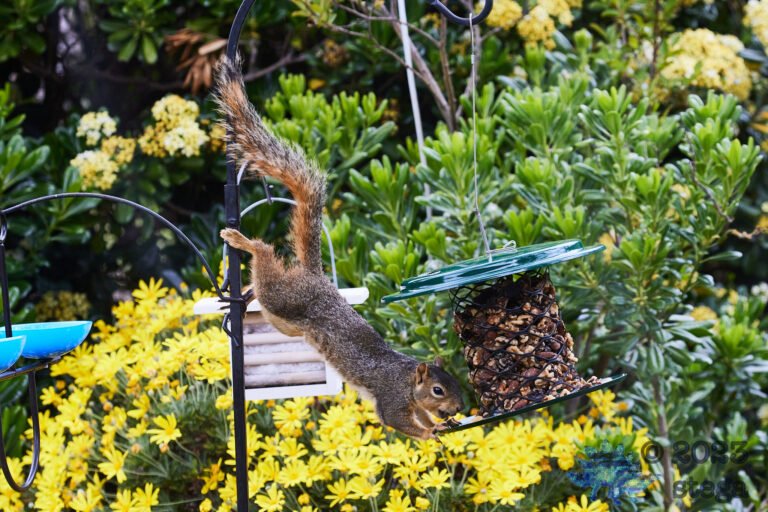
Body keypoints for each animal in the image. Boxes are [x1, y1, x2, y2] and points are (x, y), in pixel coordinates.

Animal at [214, 56, 464, 440]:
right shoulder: (392, 399)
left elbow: (418, 418)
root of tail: (316, 278)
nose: (459, 407)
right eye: (438, 389)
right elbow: (399, 422)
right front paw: (431, 432)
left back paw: (245, 295)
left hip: (283, 321)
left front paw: (441, 425)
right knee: (265, 257)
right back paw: (244, 243)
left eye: (455, 383)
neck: (407, 381)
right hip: (283, 299)